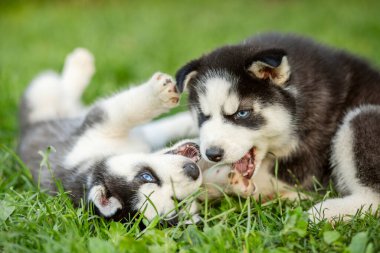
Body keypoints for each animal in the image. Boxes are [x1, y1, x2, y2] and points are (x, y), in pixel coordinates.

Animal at [18, 48, 202, 222]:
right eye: (147, 176)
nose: (192, 170)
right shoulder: (98, 127)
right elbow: (126, 109)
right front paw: (159, 94)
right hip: (42, 95)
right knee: (57, 87)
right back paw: (79, 66)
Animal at [174, 32, 380, 220]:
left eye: (242, 113)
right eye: (203, 115)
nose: (212, 154)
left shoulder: (305, 163)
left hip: (361, 117)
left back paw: (326, 211)